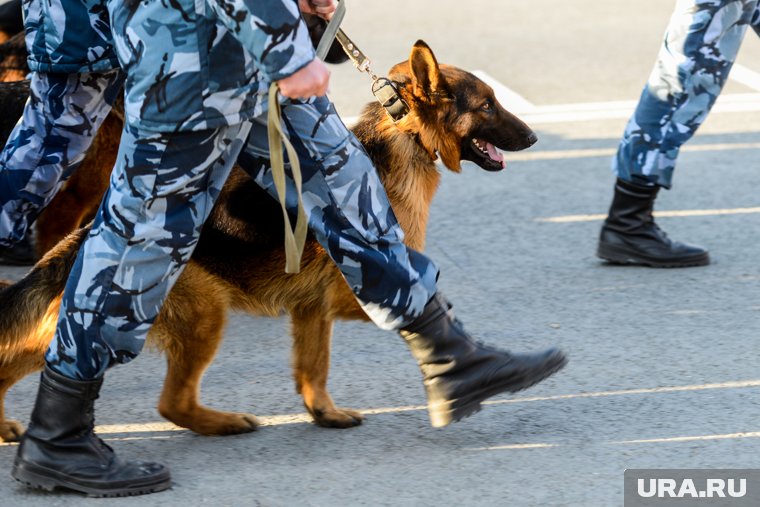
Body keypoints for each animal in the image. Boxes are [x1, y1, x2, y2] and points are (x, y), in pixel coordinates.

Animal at [0, 41, 536, 442]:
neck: (405, 137)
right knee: (171, 401)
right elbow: (415, 303)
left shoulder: (313, 307)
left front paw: (324, 413)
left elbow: (313, 368)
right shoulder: (360, 289)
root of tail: (89, 237)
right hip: (199, 313)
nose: (532, 137)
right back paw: (221, 423)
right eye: (487, 105)